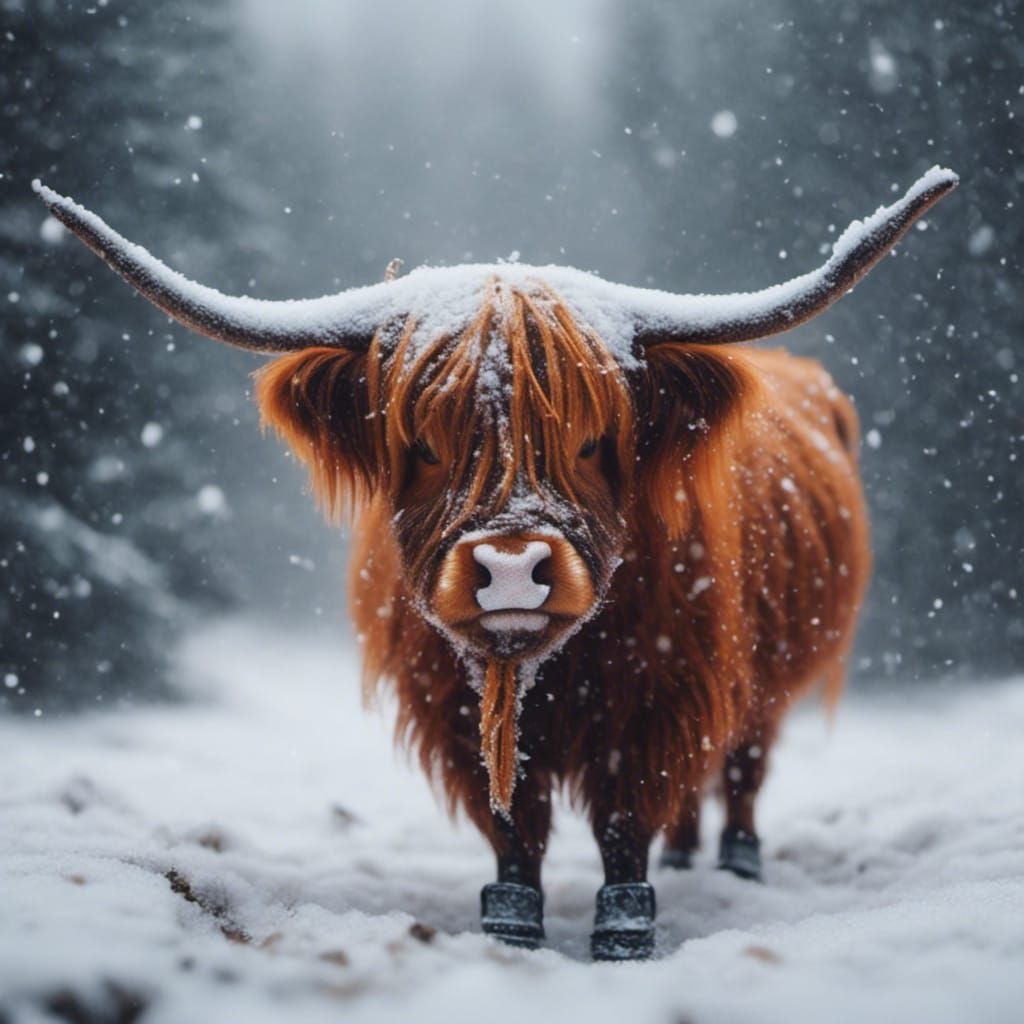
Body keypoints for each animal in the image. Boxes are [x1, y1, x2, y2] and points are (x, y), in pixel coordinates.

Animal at [34, 167, 957, 960]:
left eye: (592, 441)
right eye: (424, 445)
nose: (513, 569)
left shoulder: (655, 700)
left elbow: (625, 824)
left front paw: (624, 938)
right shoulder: (455, 707)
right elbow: (514, 826)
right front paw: (511, 931)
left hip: (764, 678)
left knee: (741, 768)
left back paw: (736, 864)